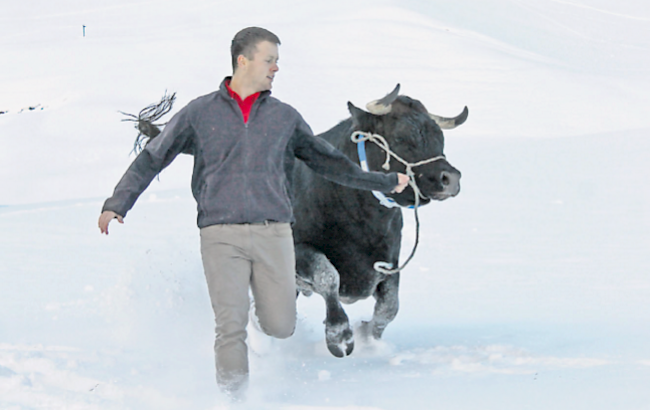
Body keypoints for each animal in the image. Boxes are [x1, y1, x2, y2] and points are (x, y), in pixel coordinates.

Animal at [290, 85, 466, 358]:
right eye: (401, 137)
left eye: (440, 137)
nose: (451, 178)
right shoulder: (298, 250)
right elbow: (328, 275)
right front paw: (340, 335)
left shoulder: (389, 262)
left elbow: (390, 306)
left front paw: (367, 336)